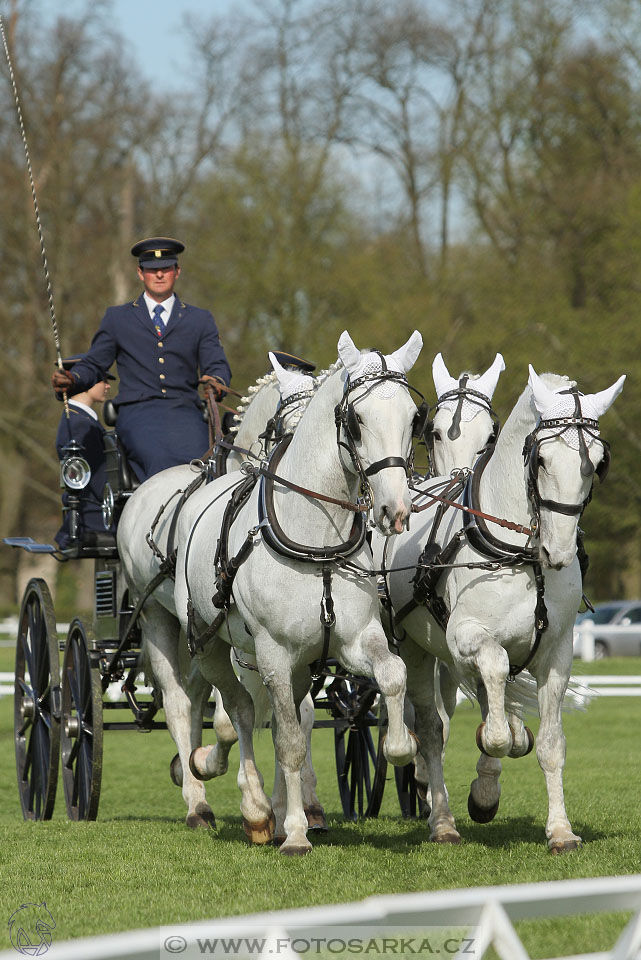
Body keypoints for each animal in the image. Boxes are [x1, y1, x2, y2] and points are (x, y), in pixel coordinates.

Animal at [174, 332, 424, 856]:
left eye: (414, 417)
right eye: (357, 419)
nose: (395, 510)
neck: (317, 539)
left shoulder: (355, 640)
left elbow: (392, 675)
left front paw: (401, 746)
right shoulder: (273, 651)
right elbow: (286, 741)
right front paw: (292, 833)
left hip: (296, 665)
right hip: (212, 647)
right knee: (241, 713)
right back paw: (249, 804)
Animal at [382, 364, 624, 852]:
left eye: (596, 462)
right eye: (542, 459)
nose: (558, 552)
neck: (523, 556)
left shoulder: (556, 653)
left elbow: (549, 743)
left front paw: (560, 830)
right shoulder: (465, 636)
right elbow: (492, 690)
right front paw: (491, 757)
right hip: (415, 648)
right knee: (433, 730)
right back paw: (441, 819)